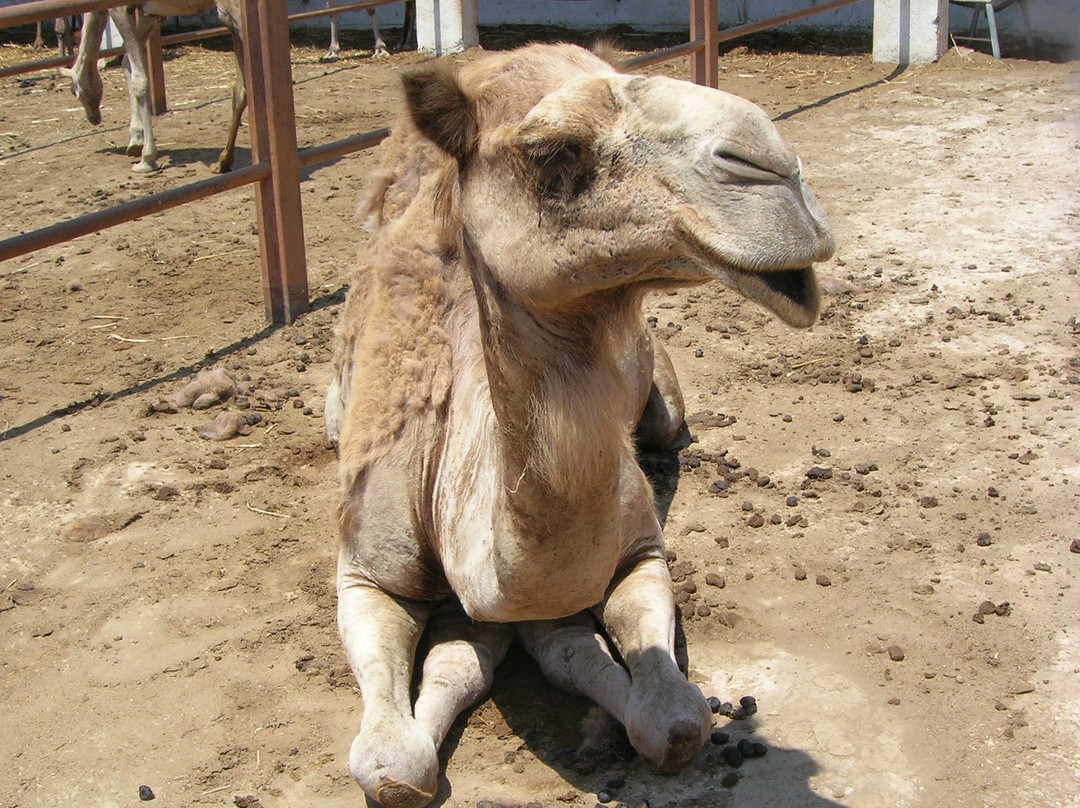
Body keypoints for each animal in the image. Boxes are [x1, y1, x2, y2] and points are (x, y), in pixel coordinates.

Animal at [63, 1, 244, 174]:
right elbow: (127, 63)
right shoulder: (149, 15)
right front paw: (136, 141)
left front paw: (147, 158)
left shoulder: (119, 9)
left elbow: (139, 79)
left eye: (73, 91)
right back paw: (223, 162)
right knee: (241, 89)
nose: (94, 118)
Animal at [325, 43, 834, 808]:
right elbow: (395, 762)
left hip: (663, 401)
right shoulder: (364, 570)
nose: (775, 169)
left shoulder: (638, 551)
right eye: (552, 148)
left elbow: (670, 718)